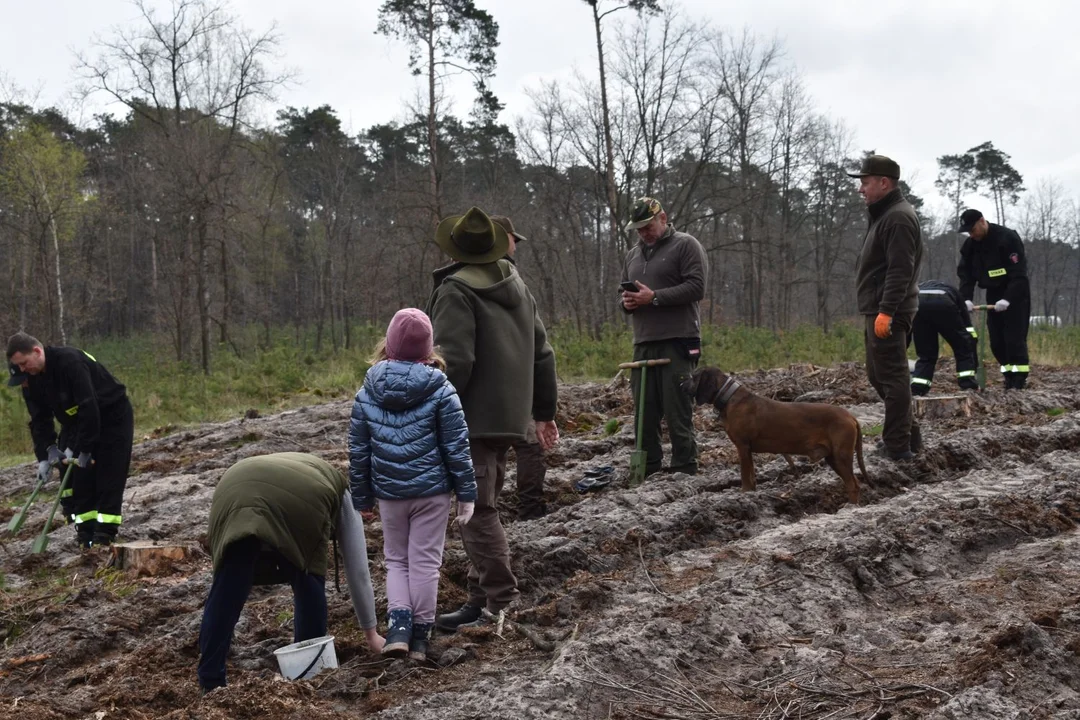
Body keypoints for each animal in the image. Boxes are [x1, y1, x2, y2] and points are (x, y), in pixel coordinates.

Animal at [682, 367, 868, 500]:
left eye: (694, 376)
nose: (680, 385)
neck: (729, 397)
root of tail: (850, 416)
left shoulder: (743, 446)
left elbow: (745, 476)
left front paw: (744, 493)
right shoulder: (748, 450)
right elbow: (752, 475)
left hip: (841, 456)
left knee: (853, 485)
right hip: (832, 457)